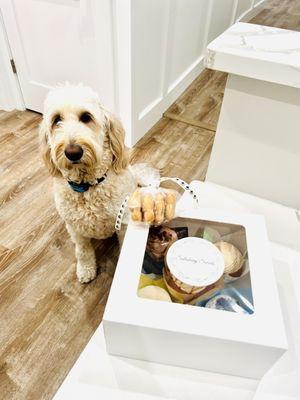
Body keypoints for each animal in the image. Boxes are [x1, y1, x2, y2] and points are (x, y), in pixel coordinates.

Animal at [39, 83, 159, 284]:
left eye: (86, 117)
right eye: (57, 120)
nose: (72, 152)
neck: (88, 186)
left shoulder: (123, 223)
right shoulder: (75, 229)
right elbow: (82, 252)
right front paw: (86, 269)